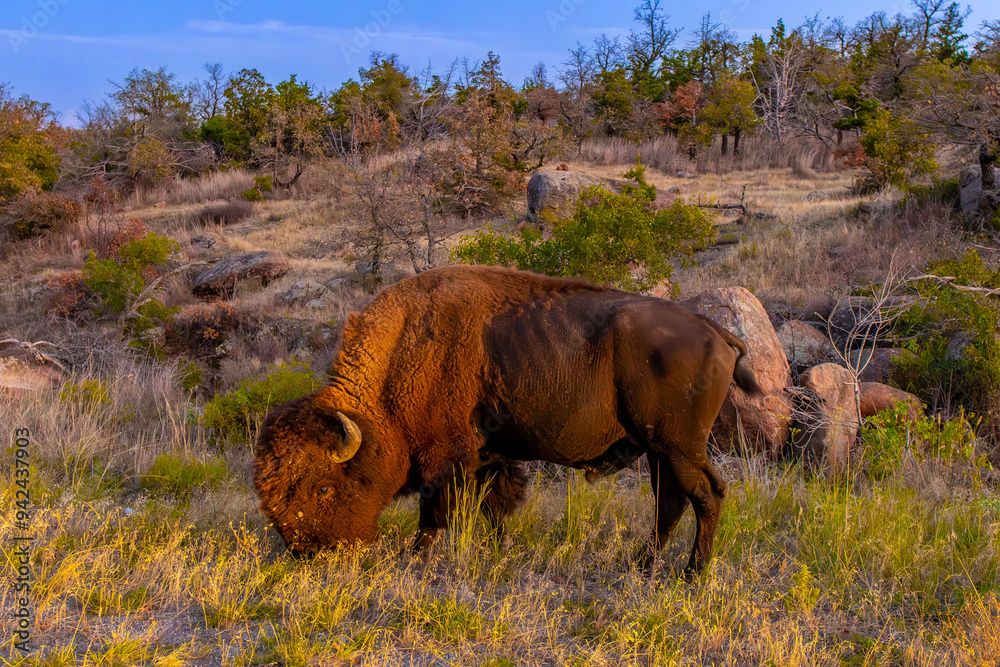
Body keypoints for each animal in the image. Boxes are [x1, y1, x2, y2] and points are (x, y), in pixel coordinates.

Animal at [254, 265, 761, 576]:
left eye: (323, 488)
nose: (308, 552)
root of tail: (714, 330)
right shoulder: (490, 455)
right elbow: (496, 507)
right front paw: (498, 552)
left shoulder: (446, 456)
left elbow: (435, 511)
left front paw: (418, 557)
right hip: (660, 451)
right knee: (670, 504)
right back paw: (640, 565)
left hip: (679, 448)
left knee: (706, 495)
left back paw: (691, 574)